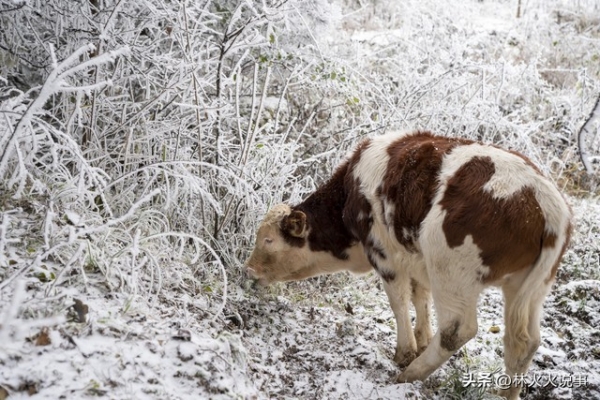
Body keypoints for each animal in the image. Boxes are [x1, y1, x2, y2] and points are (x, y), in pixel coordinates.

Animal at [245, 131, 572, 400]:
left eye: (269, 240)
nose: (249, 270)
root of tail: (540, 199)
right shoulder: (414, 258)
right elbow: (419, 297)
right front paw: (423, 337)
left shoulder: (384, 254)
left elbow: (399, 302)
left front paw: (405, 352)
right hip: (527, 287)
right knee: (523, 341)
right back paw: (506, 393)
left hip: (451, 272)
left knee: (457, 330)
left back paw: (409, 374)